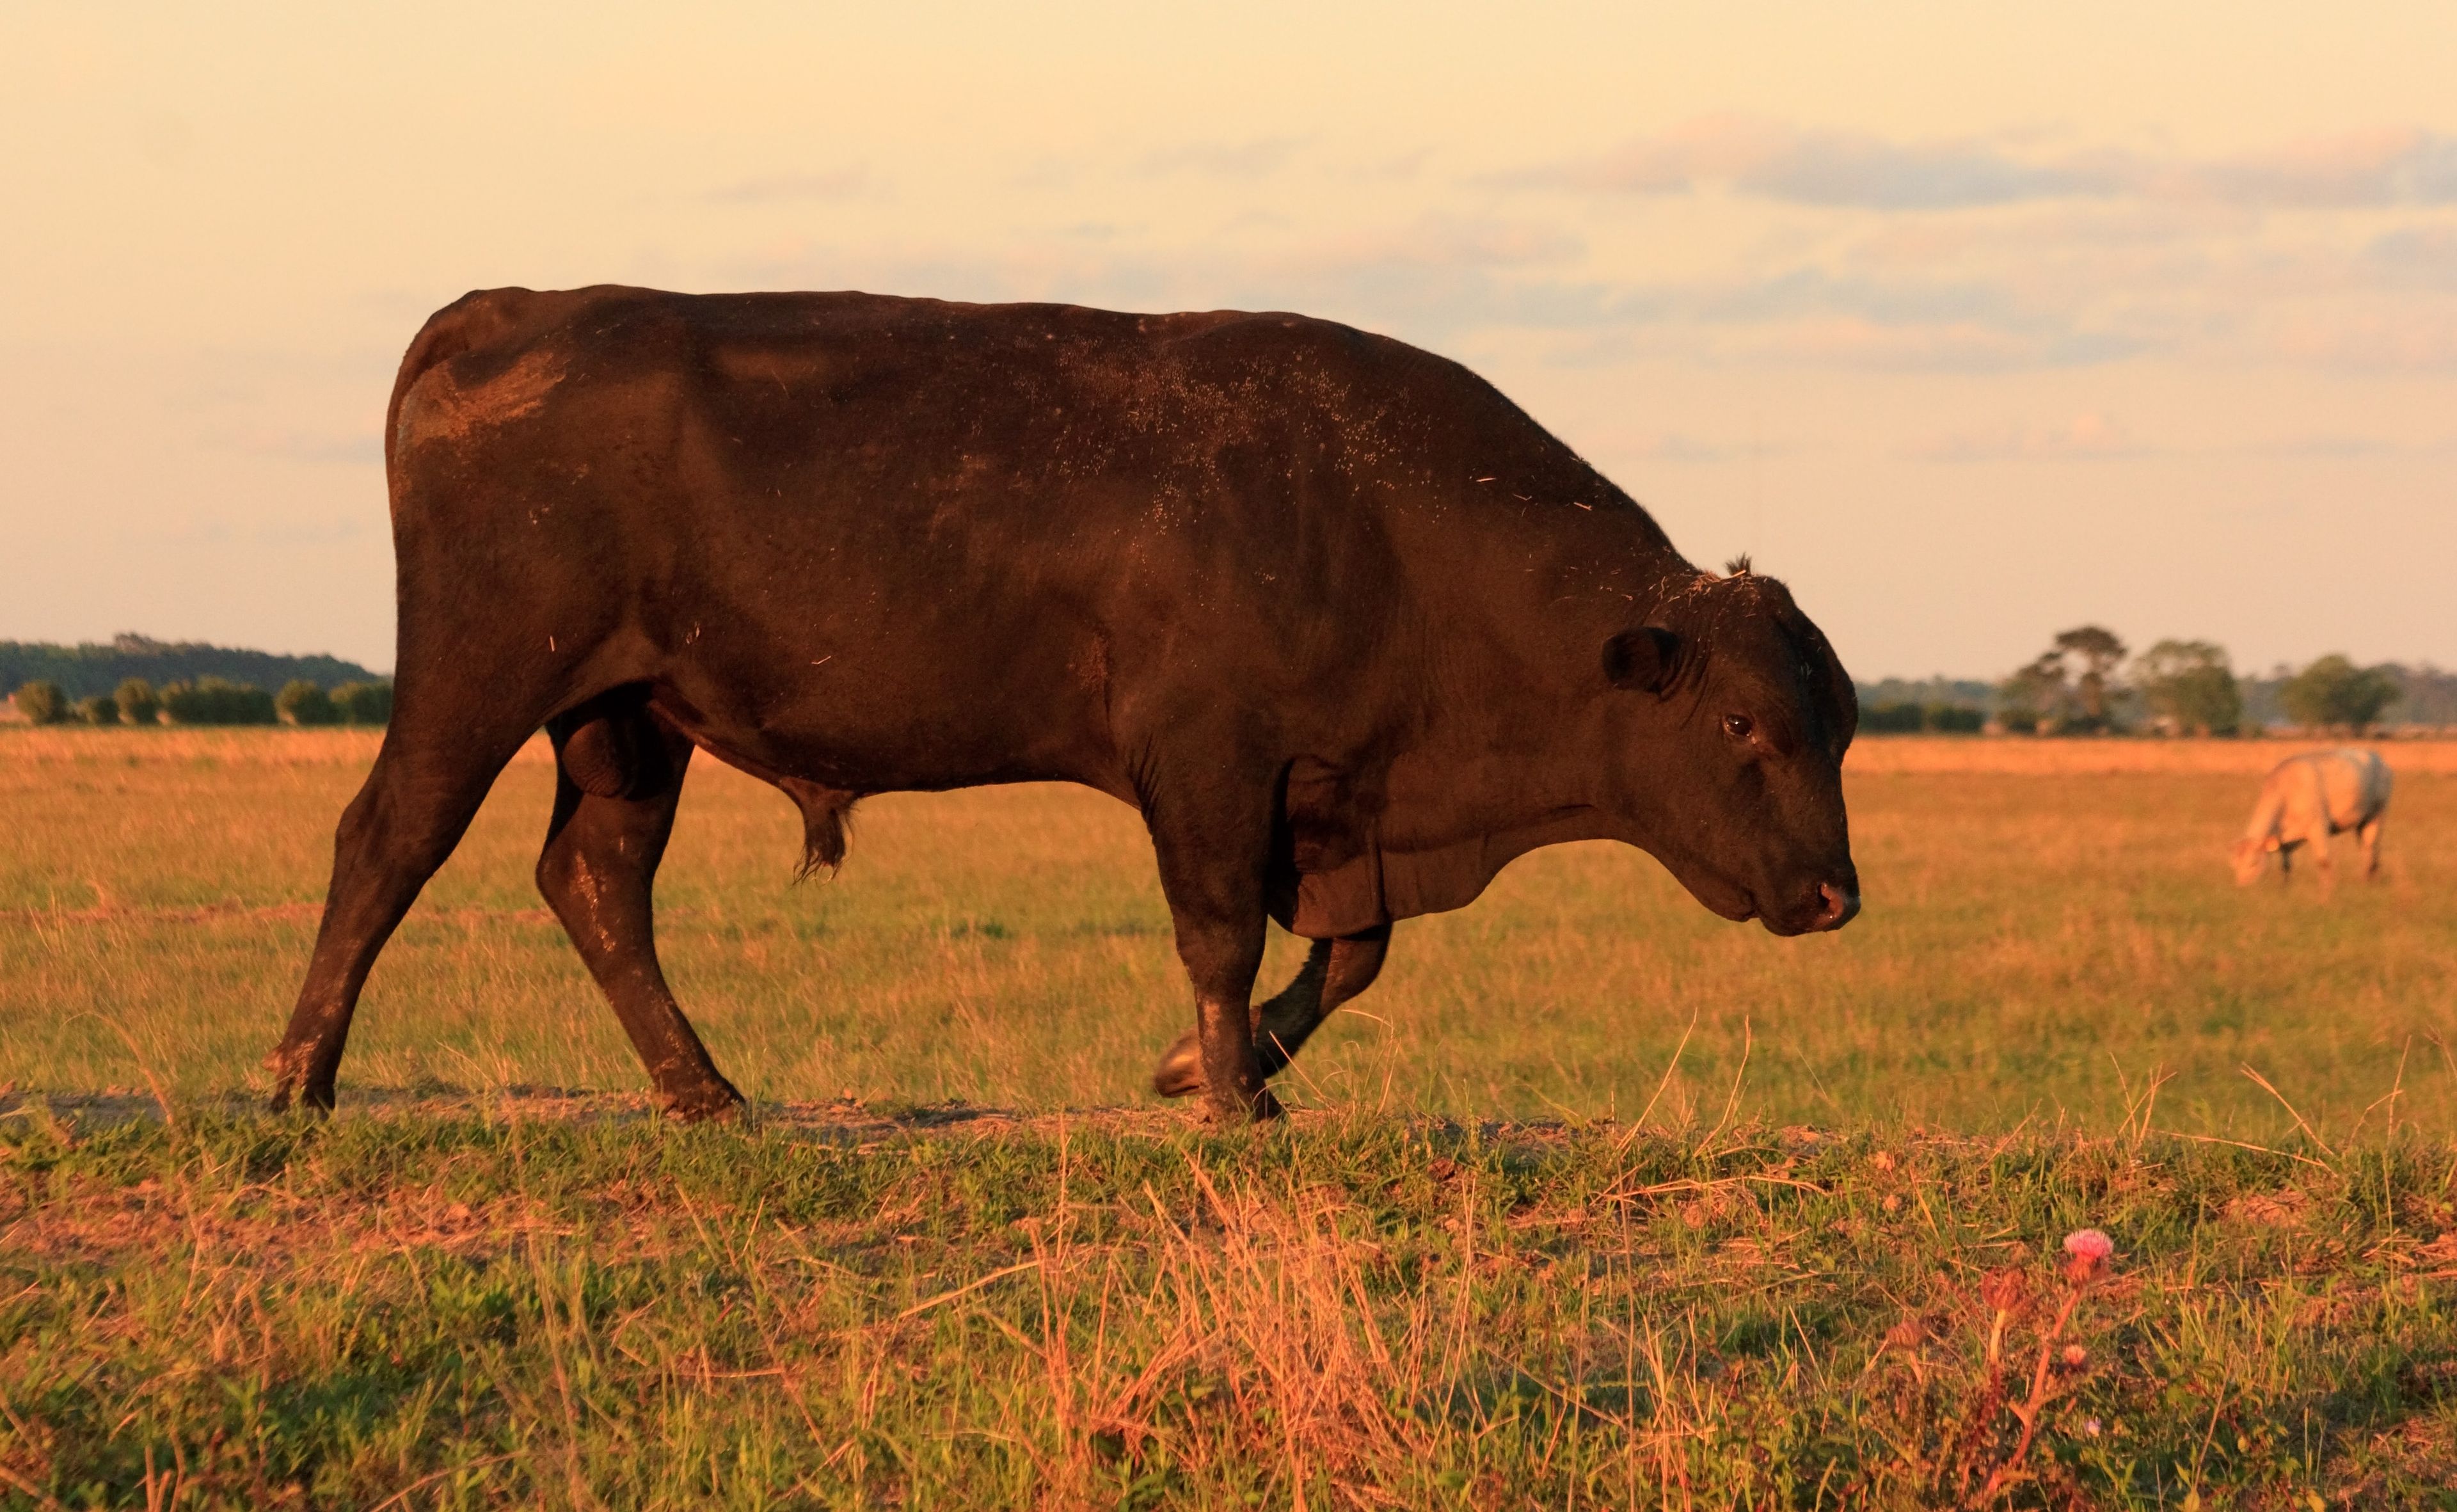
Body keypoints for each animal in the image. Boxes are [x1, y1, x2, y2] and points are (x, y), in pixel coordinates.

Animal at [266, 287, 1862, 1126]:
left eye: (1839, 721)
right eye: (1741, 724)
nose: (1837, 894)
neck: (1379, 519)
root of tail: (518, 309)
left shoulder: (1334, 804)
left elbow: (1348, 955)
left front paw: (1211, 1068)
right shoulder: (1207, 769)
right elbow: (1224, 938)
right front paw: (1227, 1094)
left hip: (630, 721)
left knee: (595, 880)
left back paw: (707, 1090)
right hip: (479, 683)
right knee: (385, 840)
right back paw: (298, 1079)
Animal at [2230, 749, 2390, 892]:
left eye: (2253, 863)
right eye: (2235, 864)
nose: (2242, 887)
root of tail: (2377, 758)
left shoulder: (2318, 827)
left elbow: (2323, 861)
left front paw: (2326, 892)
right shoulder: (2286, 841)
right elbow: (2286, 864)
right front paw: (2285, 888)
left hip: (2376, 817)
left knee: (2371, 850)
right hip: (2362, 823)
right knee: (2367, 850)